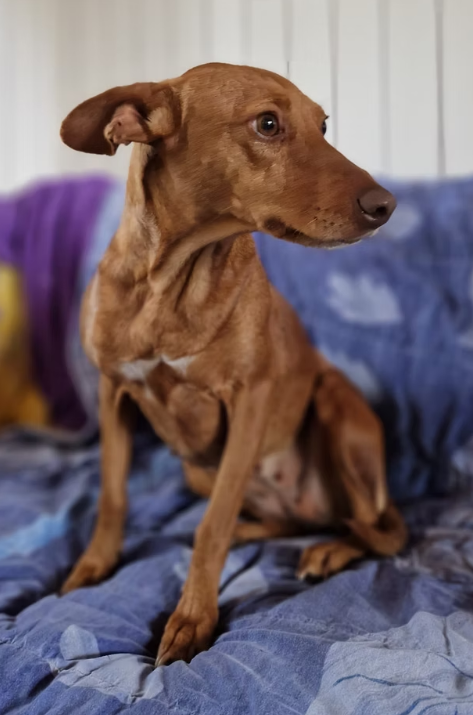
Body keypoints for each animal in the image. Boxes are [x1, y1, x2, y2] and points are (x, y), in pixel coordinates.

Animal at [60, 63, 406, 666]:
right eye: (267, 124)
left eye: (323, 125)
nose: (387, 205)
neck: (173, 283)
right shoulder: (111, 393)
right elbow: (113, 496)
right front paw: (93, 567)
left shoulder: (250, 400)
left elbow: (212, 527)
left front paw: (192, 618)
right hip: (196, 469)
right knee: (277, 519)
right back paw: (261, 527)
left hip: (336, 408)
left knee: (370, 530)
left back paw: (328, 550)